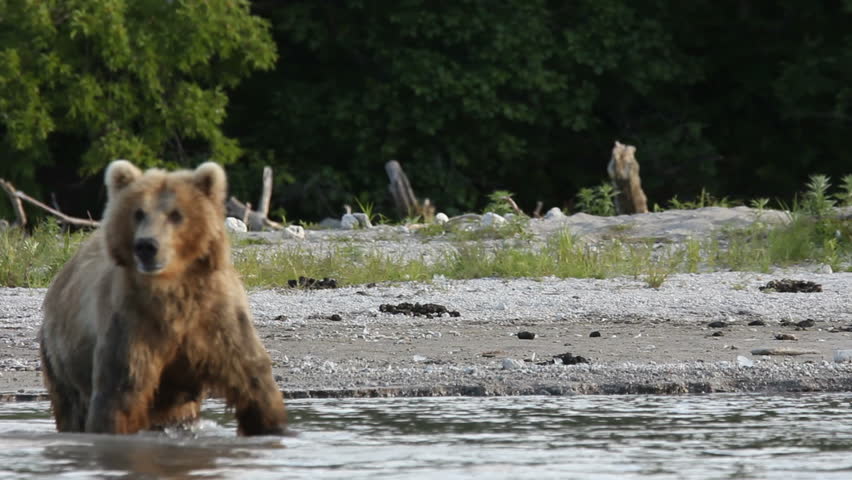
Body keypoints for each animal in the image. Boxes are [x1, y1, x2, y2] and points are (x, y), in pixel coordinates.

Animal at [38, 159, 286, 436]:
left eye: (176, 214)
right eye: (138, 213)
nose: (147, 245)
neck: (172, 288)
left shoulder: (217, 319)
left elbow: (254, 385)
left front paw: (273, 426)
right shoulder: (133, 323)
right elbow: (119, 397)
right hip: (59, 356)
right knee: (71, 405)